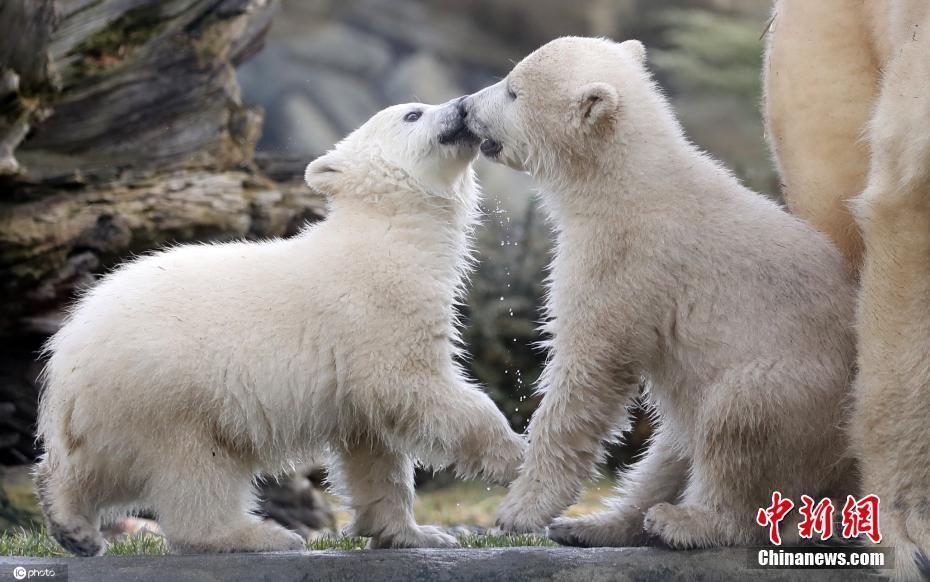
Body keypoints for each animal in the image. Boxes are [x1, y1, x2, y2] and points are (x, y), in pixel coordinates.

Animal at [34, 100, 520, 556]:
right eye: (413, 114)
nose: (462, 106)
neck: (388, 233)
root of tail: (65, 359)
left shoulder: (352, 373)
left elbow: (372, 448)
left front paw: (416, 534)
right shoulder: (376, 311)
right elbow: (414, 389)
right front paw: (514, 456)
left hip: (114, 409)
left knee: (91, 468)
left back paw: (72, 526)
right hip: (167, 390)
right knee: (195, 467)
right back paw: (262, 535)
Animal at [464, 37, 856, 552]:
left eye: (513, 91)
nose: (464, 108)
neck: (630, 181)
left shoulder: (623, 261)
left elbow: (587, 372)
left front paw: (519, 510)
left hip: (800, 391)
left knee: (740, 422)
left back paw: (687, 521)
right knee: (670, 446)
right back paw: (599, 524)